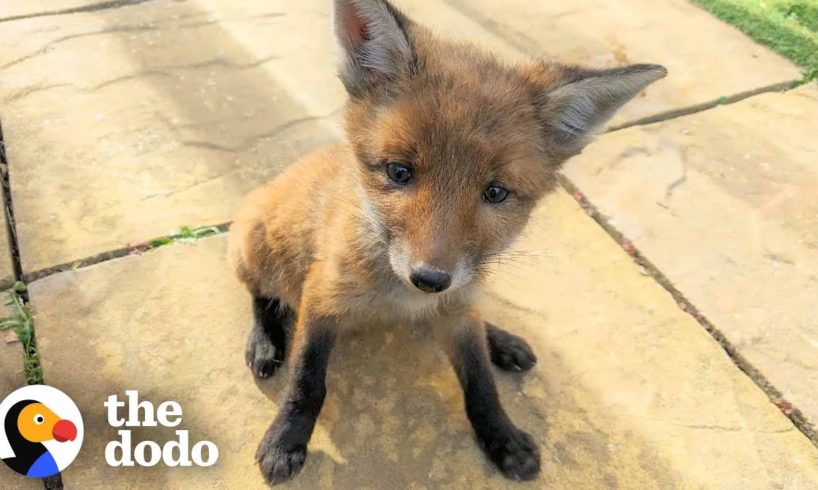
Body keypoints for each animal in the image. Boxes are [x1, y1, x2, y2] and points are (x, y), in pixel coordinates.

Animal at [230, 0, 664, 482]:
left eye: (496, 193)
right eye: (399, 171)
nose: (430, 279)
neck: (397, 300)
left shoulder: (458, 312)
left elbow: (481, 381)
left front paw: (501, 437)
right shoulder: (322, 297)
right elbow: (307, 382)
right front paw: (285, 439)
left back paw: (501, 339)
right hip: (253, 245)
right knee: (262, 297)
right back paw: (265, 340)